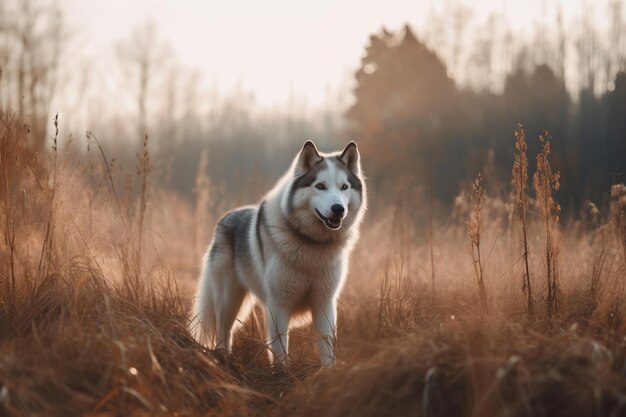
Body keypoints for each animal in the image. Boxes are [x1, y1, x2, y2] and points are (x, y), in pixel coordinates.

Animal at [190, 141, 366, 368]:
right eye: (320, 186)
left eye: (344, 187)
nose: (338, 209)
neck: (312, 244)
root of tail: (224, 218)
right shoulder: (279, 304)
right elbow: (281, 350)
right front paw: (281, 373)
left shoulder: (325, 304)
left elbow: (327, 349)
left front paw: (329, 373)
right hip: (230, 300)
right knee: (223, 331)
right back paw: (223, 359)